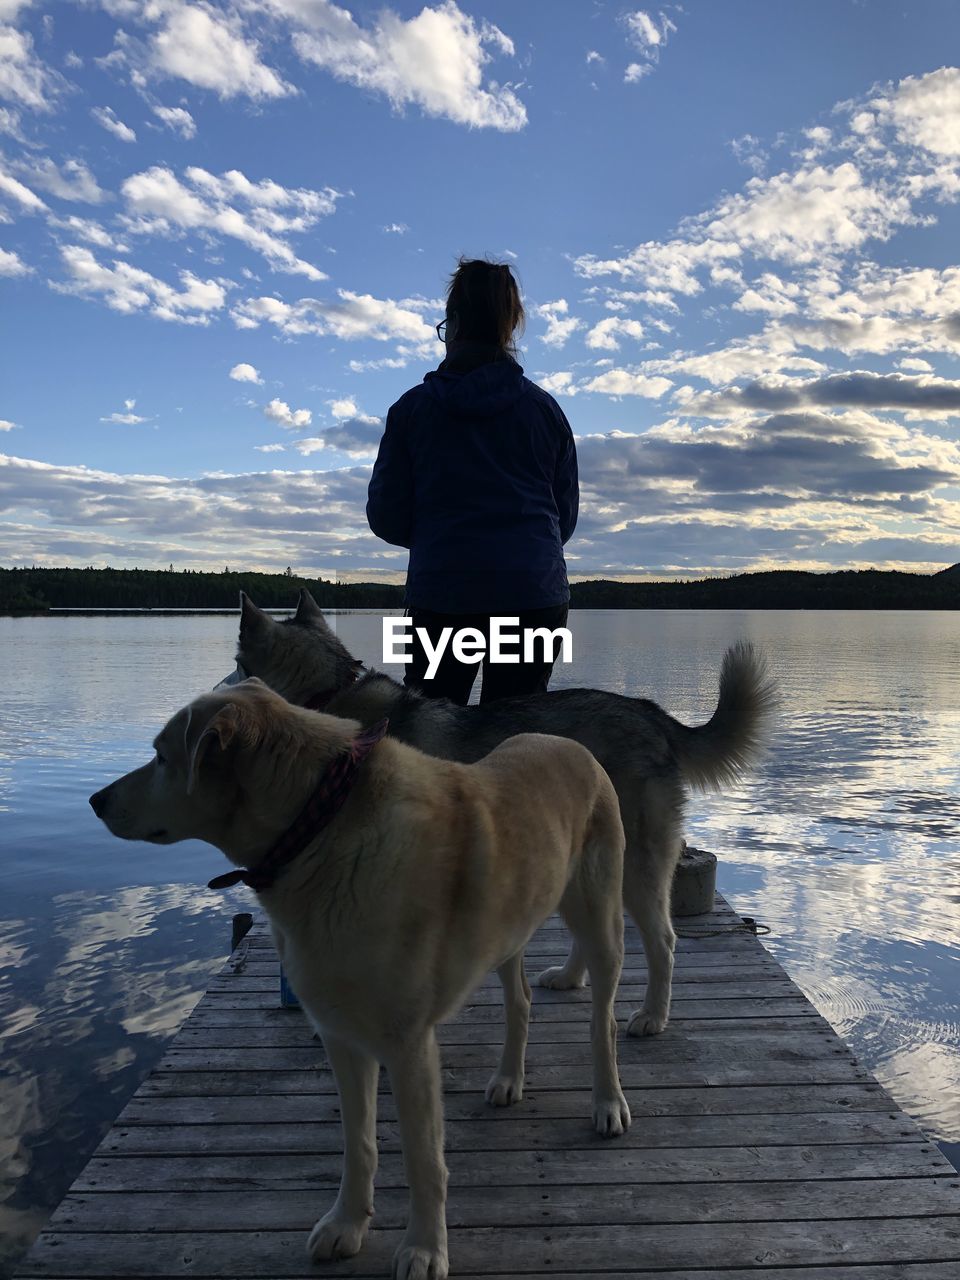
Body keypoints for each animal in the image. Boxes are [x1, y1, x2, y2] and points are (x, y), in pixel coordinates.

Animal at [88, 680, 632, 1280]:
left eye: (163, 757)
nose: (96, 801)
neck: (319, 829)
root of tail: (569, 743)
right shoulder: (342, 1037)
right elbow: (358, 1144)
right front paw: (347, 1224)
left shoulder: (408, 1045)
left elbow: (423, 1161)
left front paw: (425, 1249)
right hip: (509, 932)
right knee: (521, 1002)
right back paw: (509, 1079)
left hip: (600, 922)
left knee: (603, 1023)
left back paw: (608, 1102)